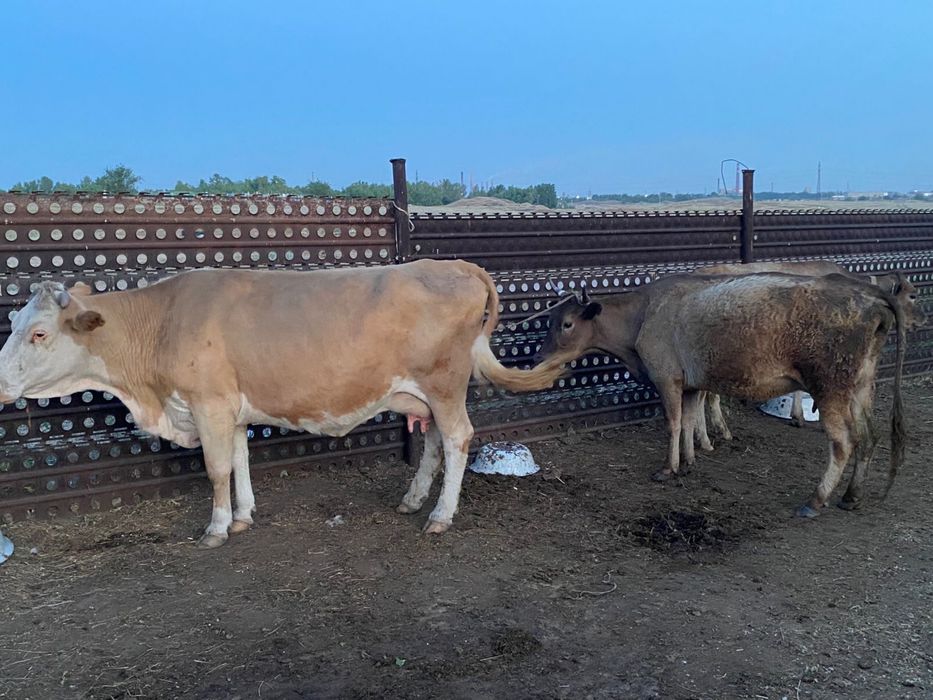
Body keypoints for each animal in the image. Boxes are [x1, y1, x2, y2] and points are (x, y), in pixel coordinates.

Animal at [0, 262, 566, 547]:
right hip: (423, 393)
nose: (1, 381)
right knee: (432, 441)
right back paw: (413, 500)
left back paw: (442, 516)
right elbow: (239, 460)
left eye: (39, 333)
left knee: (457, 439)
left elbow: (215, 468)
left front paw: (216, 528)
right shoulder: (230, 407)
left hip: (445, 385)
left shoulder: (208, 403)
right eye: (14, 322)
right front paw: (244, 516)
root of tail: (455, 264)